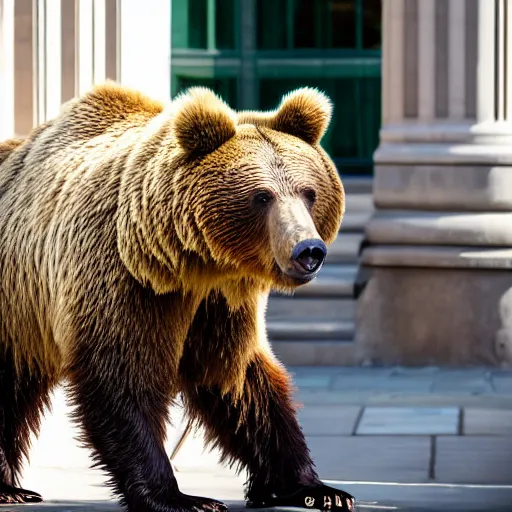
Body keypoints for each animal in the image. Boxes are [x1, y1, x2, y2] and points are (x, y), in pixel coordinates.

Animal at [0, 82, 352, 510]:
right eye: (262, 196)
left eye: (309, 192)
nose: (308, 250)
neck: (191, 263)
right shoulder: (125, 282)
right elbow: (122, 378)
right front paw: (182, 496)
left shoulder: (219, 304)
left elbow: (239, 383)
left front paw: (317, 488)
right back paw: (10, 489)